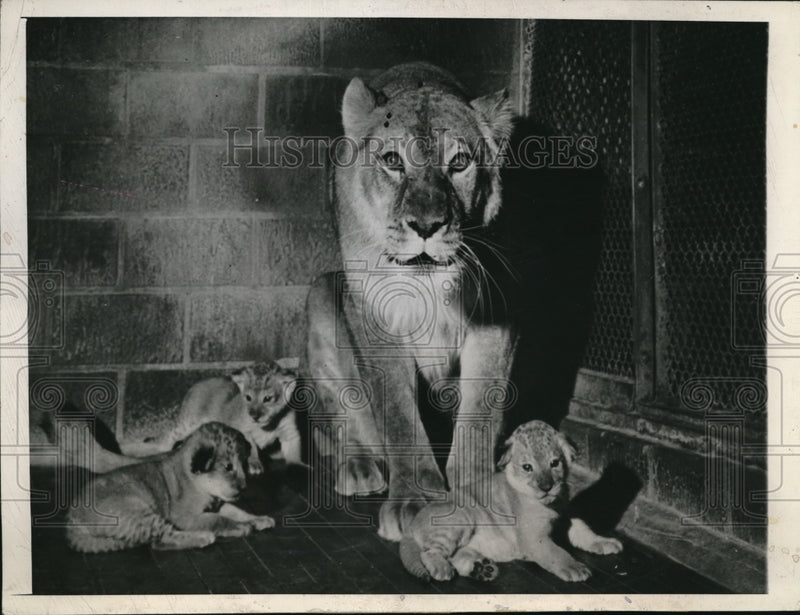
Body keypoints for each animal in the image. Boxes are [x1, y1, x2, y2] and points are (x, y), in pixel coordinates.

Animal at [66, 422, 275, 552]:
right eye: (228, 467)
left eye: (244, 464)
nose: (243, 487)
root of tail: (71, 523)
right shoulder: (184, 517)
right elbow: (218, 520)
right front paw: (242, 527)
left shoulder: (220, 504)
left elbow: (238, 511)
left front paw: (259, 519)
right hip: (138, 513)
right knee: (161, 540)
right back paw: (203, 537)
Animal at [306, 62, 518, 541]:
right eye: (392, 161)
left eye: (459, 163)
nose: (426, 226)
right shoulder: (376, 319)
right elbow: (399, 415)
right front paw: (414, 499)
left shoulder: (495, 319)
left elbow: (479, 415)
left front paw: (473, 499)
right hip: (322, 297)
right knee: (340, 426)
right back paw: (359, 466)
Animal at [399, 420, 622, 582]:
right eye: (527, 467)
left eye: (555, 463)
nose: (547, 487)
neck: (552, 504)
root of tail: (411, 526)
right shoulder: (533, 538)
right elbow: (555, 552)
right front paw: (574, 567)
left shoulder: (567, 518)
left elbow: (584, 530)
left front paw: (605, 542)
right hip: (459, 519)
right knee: (430, 553)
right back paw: (442, 569)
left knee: (457, 554)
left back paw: (482, 569)